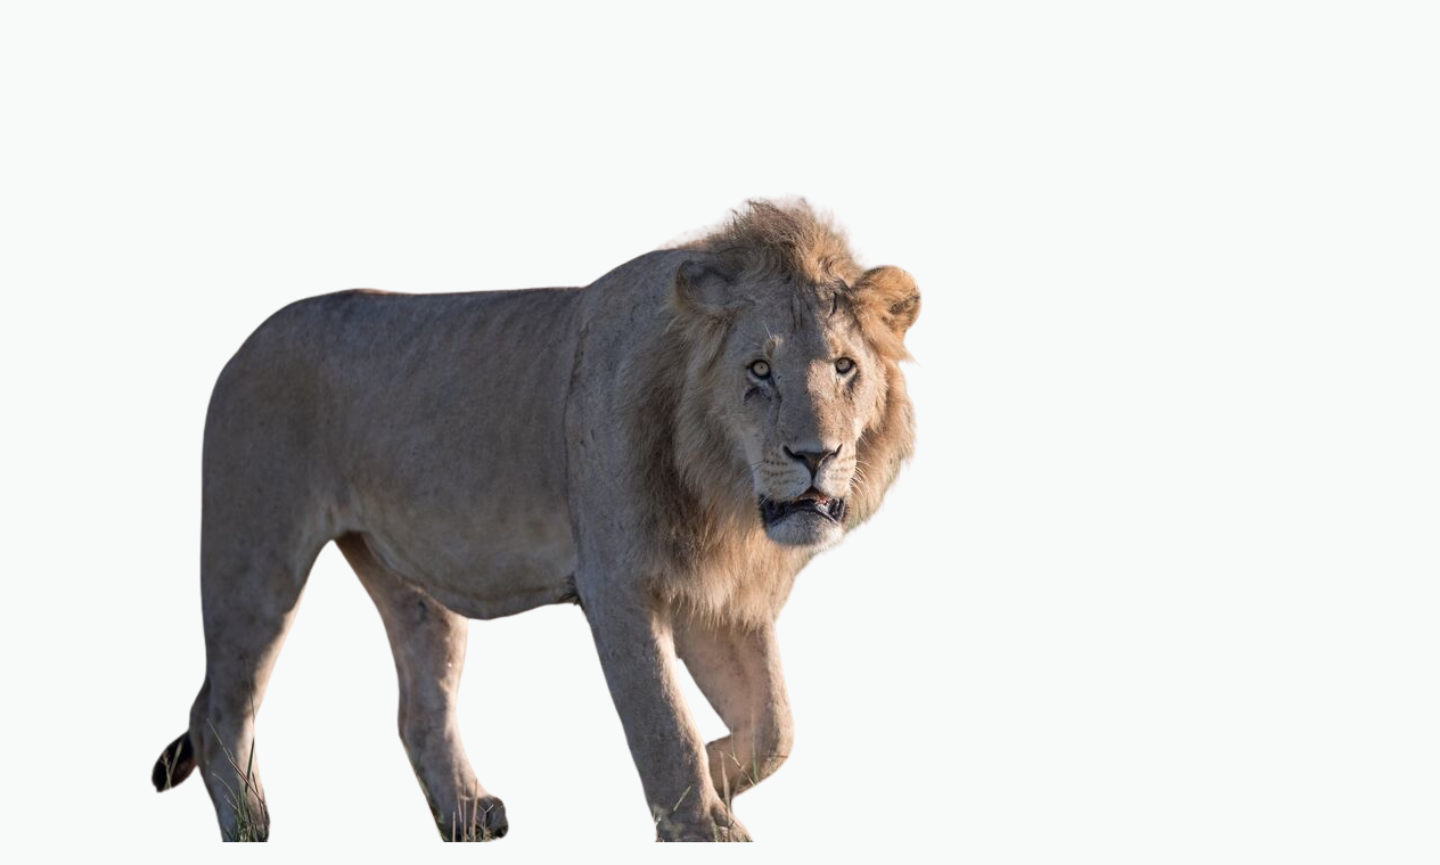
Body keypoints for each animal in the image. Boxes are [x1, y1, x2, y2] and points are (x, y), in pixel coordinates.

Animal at [151, 199, 920, 842]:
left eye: (844, 367)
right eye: (759, 369)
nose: (817, 455)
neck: (723, 493)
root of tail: (243, 346)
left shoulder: (722, 598)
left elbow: (775, 727)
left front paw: (716, 776)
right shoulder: (620, 586)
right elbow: (664, 722)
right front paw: (702, 824)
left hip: (411, 581)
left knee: (419, 709)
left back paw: (466, 815)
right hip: (255, 554)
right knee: (220, 707)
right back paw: (249, 825)